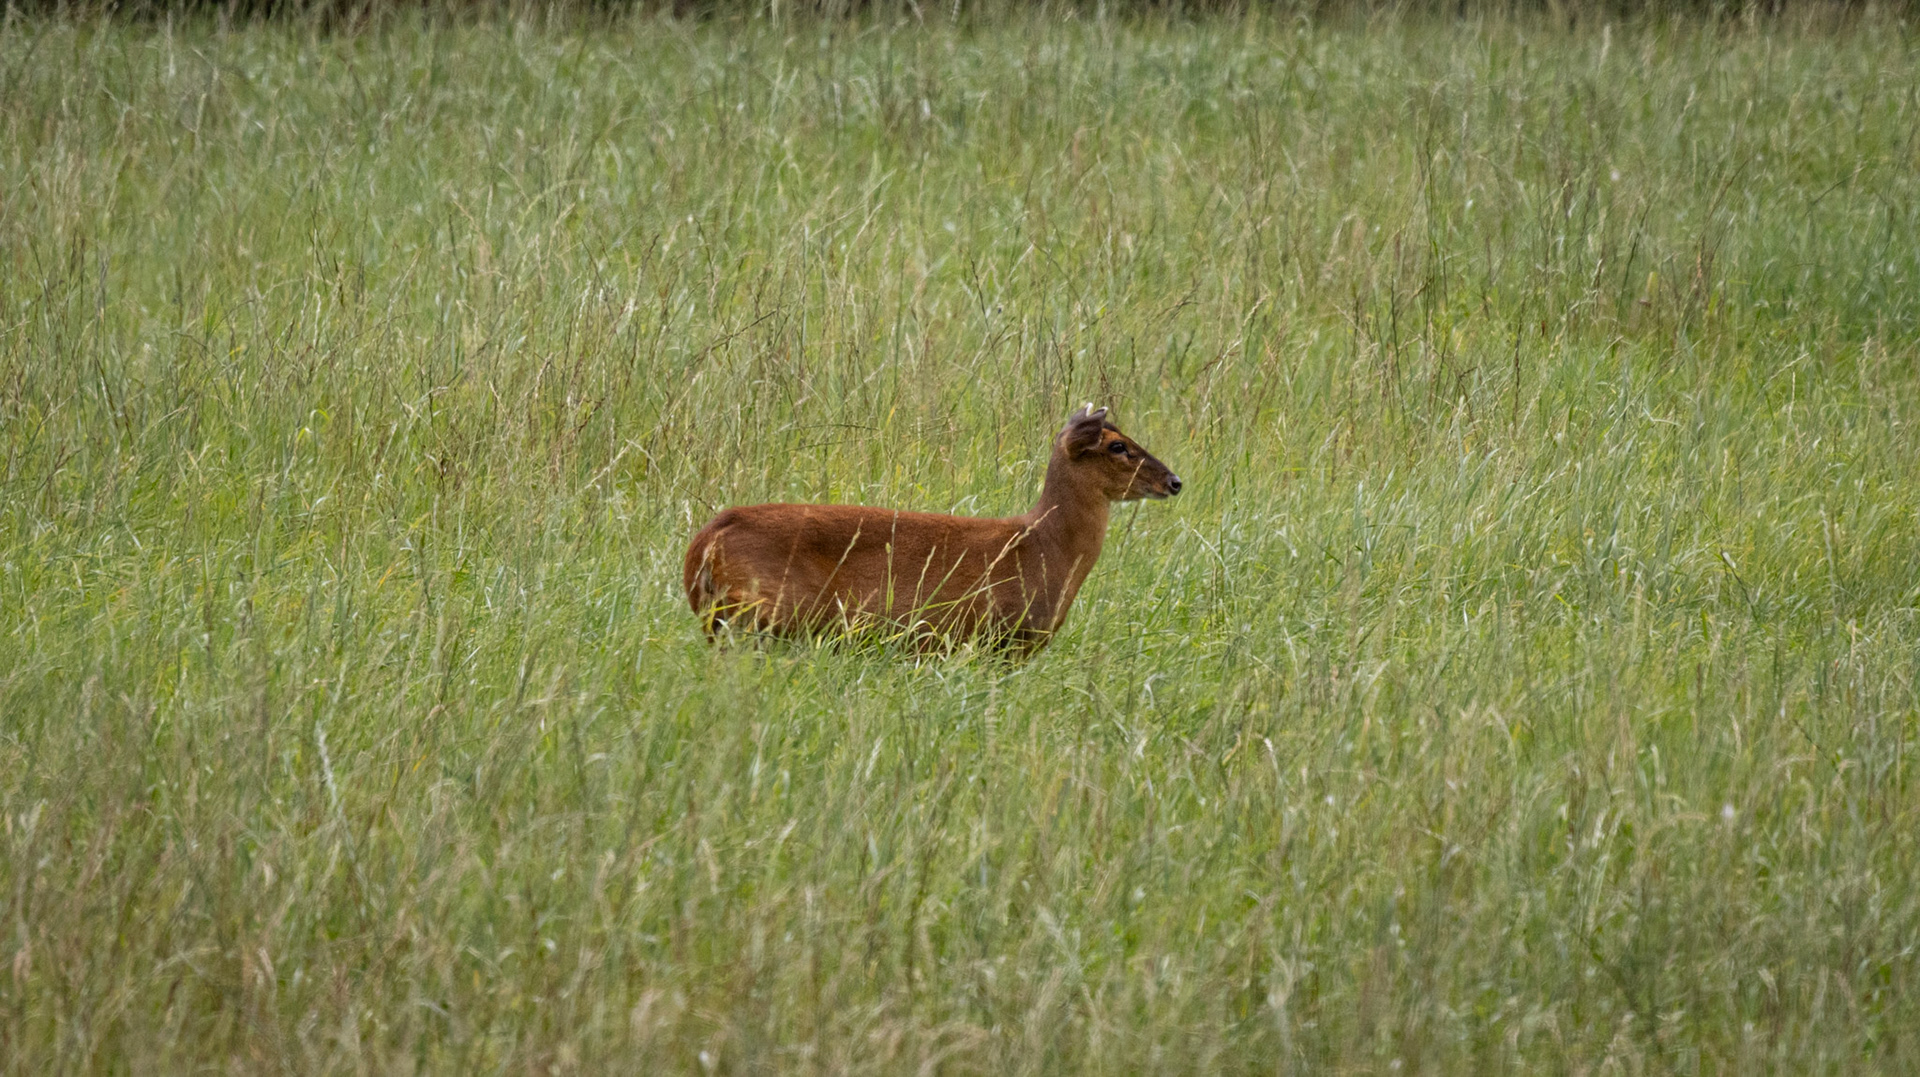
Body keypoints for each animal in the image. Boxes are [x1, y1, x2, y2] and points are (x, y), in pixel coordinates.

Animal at [682, 405, 1182, 656]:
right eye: (1118, 446)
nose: (1175, 481)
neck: (1044, 547)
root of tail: (702, 546)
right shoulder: (999, 636)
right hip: (764, 615)